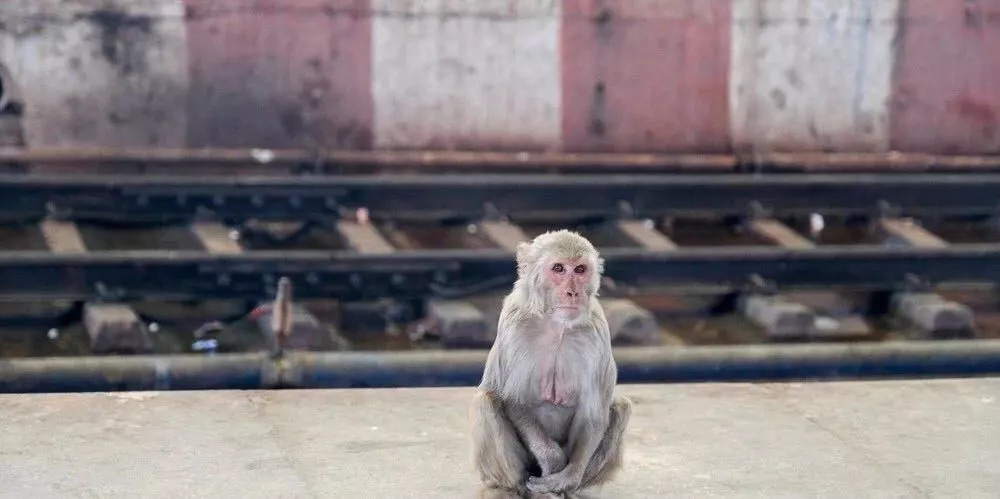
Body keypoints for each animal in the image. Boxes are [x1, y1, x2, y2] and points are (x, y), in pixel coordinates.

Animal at [470, 231, 628, 499]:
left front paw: (566, 477)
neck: (557, 324)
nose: (573, 293)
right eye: (558, 268)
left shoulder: (597, 331)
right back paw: (512, 488)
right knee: (485, 400)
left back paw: (574, 490)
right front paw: (553, 462)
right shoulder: (515, 324)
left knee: (620, 406)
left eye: (580, 269)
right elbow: (514, 399)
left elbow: (593, 411)